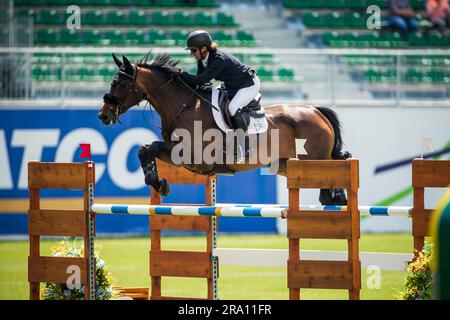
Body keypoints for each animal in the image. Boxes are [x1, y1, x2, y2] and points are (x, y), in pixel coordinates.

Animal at [98, 51, 352, 204]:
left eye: (119, 83)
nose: (103, 115)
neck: (182, 105)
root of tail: (316, 111)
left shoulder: (194, 155)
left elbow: (151, 147)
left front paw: (158, 182)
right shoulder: (179, 155)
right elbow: (145, 149)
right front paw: (159, 183)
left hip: (314, 161)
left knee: (332, 178)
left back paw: (339, 198)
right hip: (285, 165)